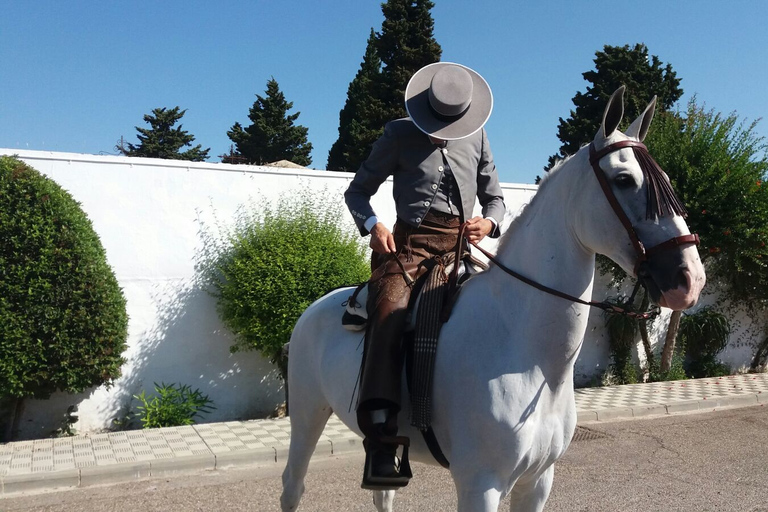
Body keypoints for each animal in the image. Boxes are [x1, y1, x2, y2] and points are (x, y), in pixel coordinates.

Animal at [280, 89, 704, 512]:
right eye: (624, 179)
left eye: (666, 180)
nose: (690, 279)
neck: (526, 351)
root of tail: (316, 308)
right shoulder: (480, 485)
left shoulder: (537, 481)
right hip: (307, 415)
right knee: (292, 485)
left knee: (382, 493)